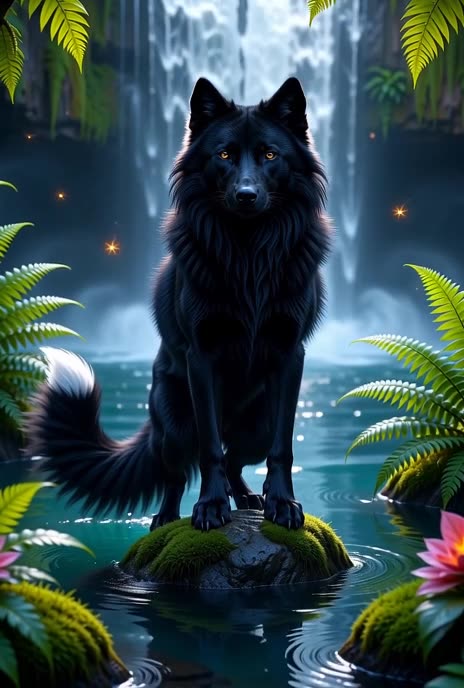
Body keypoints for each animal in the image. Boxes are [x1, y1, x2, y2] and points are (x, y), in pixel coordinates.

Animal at [25, 77, 331, 531]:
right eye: (223, 154)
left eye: (270, 155)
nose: (245, 195)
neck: (248, 252)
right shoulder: (200, 358)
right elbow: (209, 450)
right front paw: (210, 507)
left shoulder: (290, 355)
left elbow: (282, 447)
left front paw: (282, 503)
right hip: (173, 422)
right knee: (181, 470)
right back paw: (169, 517)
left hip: (255, 426)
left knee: (239, 457)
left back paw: (249, 499)